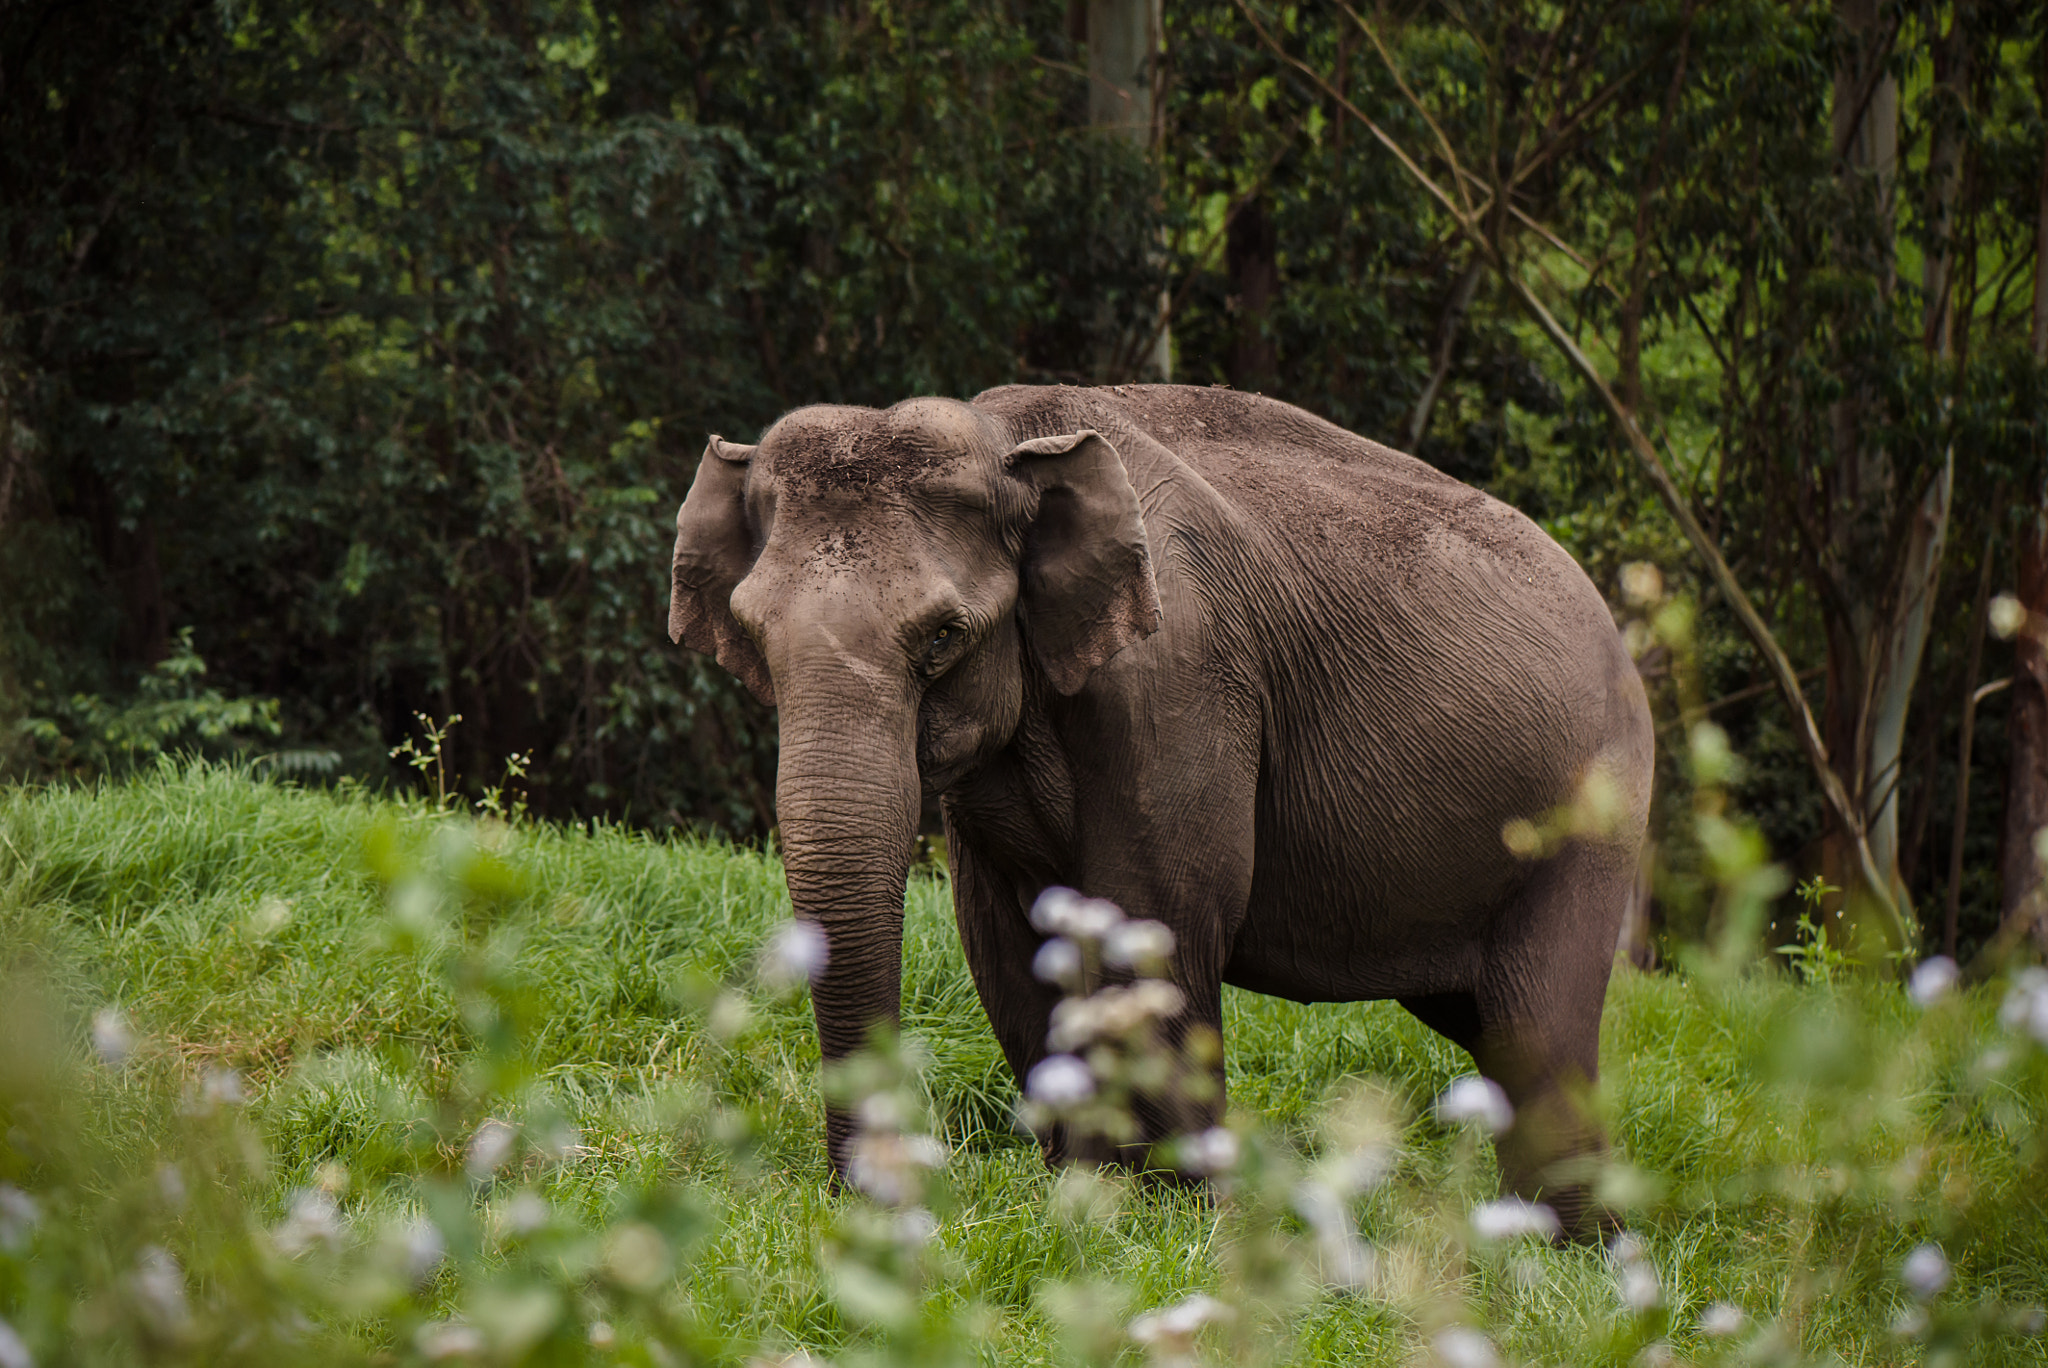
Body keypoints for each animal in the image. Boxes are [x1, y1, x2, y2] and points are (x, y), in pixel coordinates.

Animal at [668, 383, 1653, 1232]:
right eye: (751, 635)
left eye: (944, 636)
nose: (859, 1201)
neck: (1008, 437)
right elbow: (1009, 943)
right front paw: (1085, 1199)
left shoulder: (1181, 679)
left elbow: (1154, 921)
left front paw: (1171, 1223)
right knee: (1486, 1026)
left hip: (1591, 818)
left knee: (1537, 1031)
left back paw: (1564, 1258)